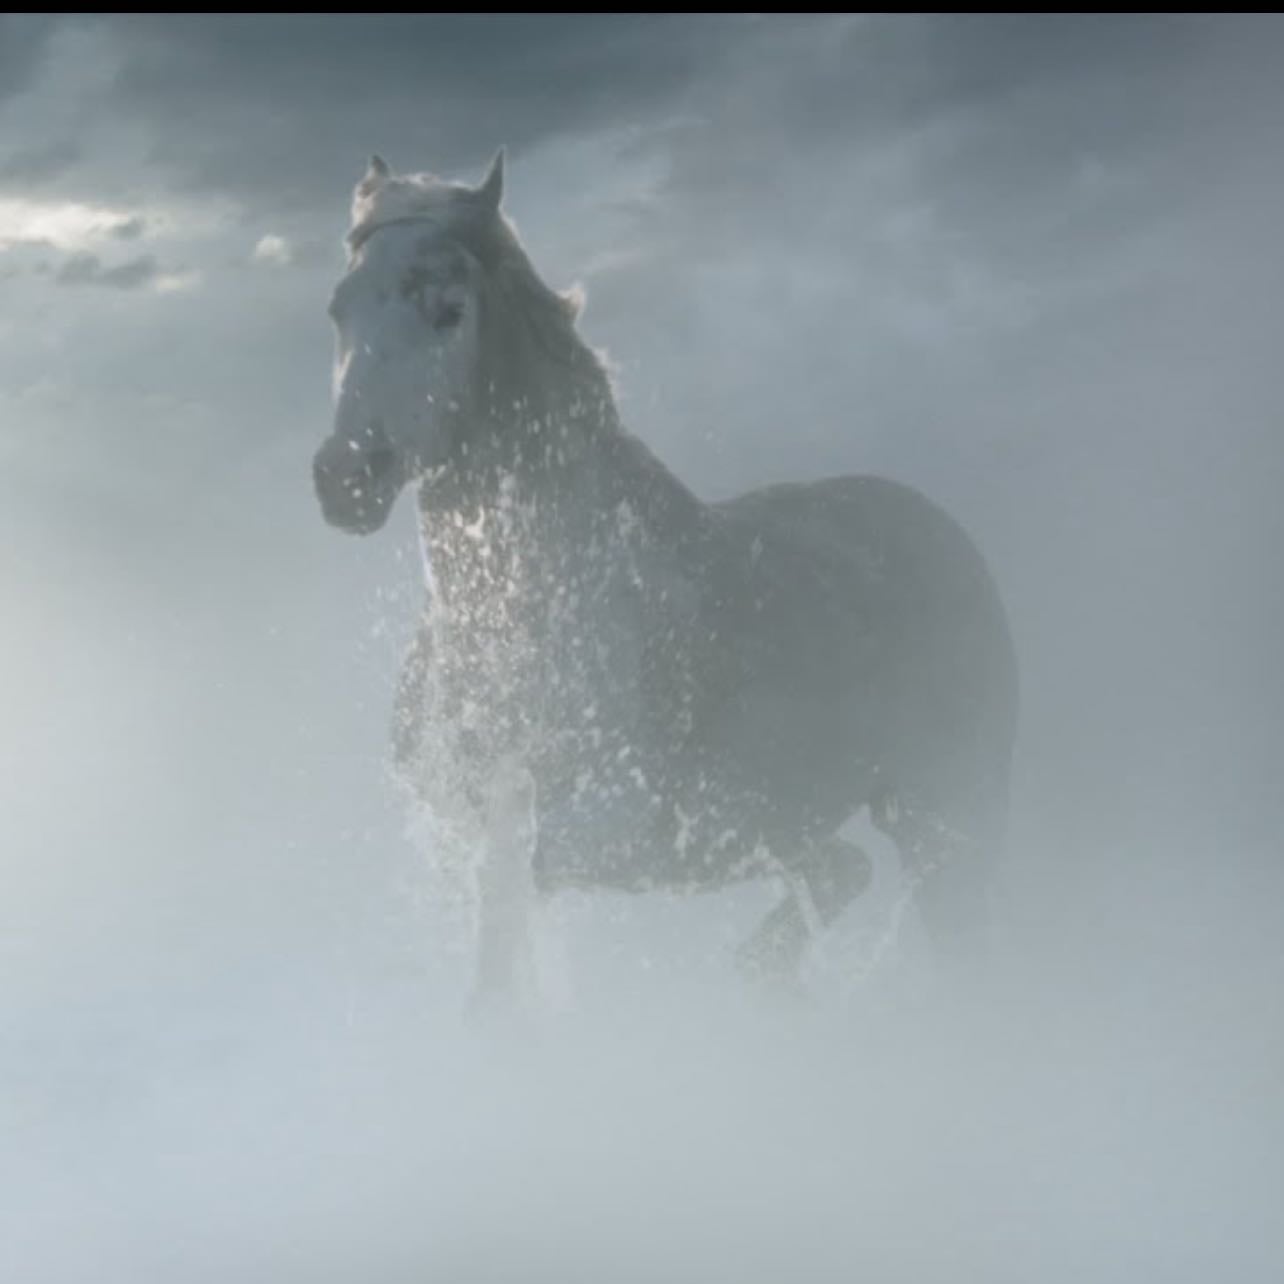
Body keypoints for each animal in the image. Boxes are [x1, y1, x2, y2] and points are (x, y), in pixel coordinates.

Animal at [311, 150, 1020, 1011]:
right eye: (338, 309)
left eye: (448, 310)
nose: (345, 480)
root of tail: (940, 530)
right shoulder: (464, 828)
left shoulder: (617, 826)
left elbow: (510, 905)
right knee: (839, 873)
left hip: (945, 819)